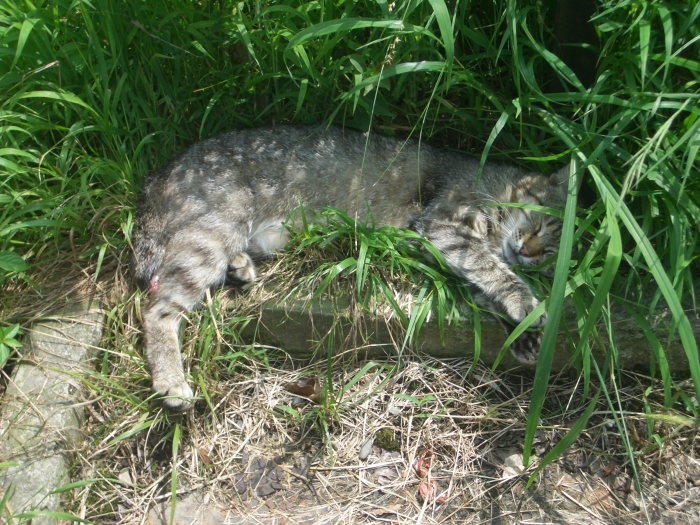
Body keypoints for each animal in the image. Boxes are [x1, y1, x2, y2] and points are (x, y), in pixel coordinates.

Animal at [133, 125, 572, 411]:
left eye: (552, 251)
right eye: (542, 225)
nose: (530, 252)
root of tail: (156, 176)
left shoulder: (432, 246)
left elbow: (483, 281)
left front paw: (523, 333)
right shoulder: (443, 227)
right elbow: (493, 270)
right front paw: (528, 305)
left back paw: (239, 268)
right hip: (211, 233)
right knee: (157, 308)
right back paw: (171, 384)